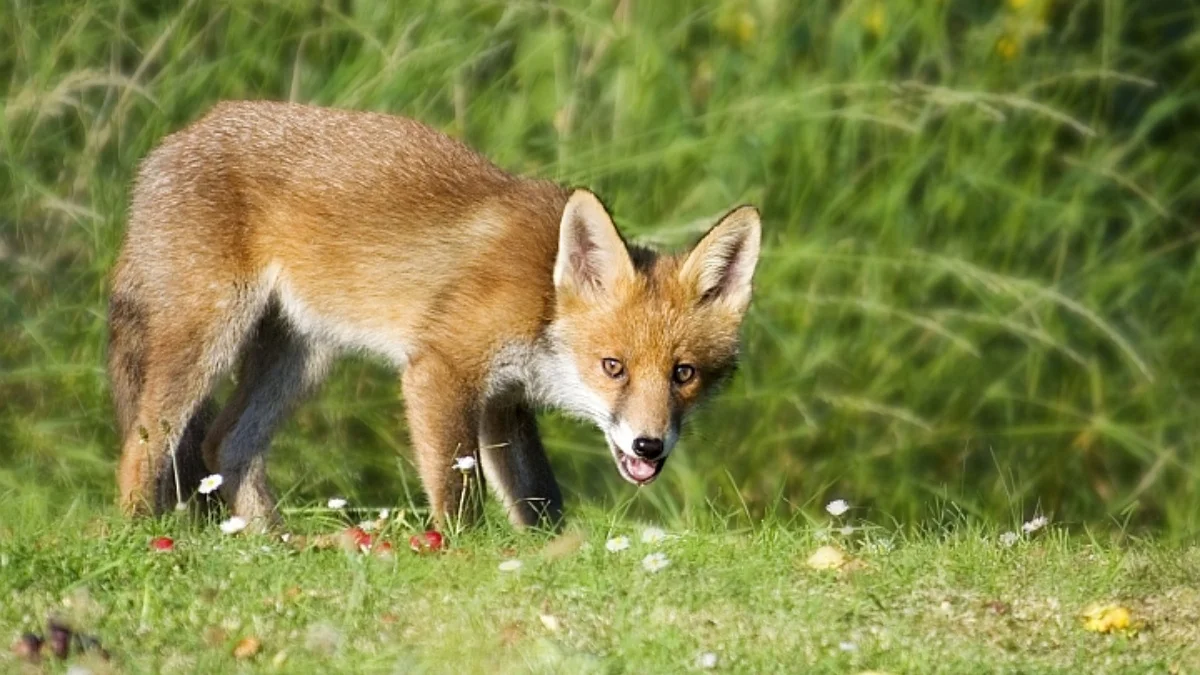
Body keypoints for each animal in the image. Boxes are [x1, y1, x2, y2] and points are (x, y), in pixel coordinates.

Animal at [105, 100, 758, 530]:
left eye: (684, 374)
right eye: (613, 366)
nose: (649, 446)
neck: (541, 298)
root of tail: (167, 145)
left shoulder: (502, 401)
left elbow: (539, 500)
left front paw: (548, 553)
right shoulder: (442, 370)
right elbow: (457, 493)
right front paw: (460, 553)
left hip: (301, 358)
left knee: (225, 445)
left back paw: (276, 543)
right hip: (209, 335)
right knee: (144, 442)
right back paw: (139, 533)